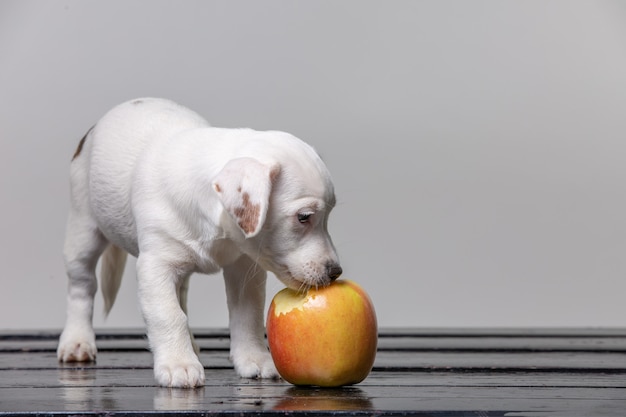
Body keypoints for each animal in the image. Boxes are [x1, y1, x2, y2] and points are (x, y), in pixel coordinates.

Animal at [57, 97, 342, 386]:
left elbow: (247, 315)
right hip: (83, 232)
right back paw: (77, 342)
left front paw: (254, 358)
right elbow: (168, 314)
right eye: (304, 217)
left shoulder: (243, 269)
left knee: (181, 294)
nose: (336, 272)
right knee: (81, 287)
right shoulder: (156, 267)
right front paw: (178, 364)